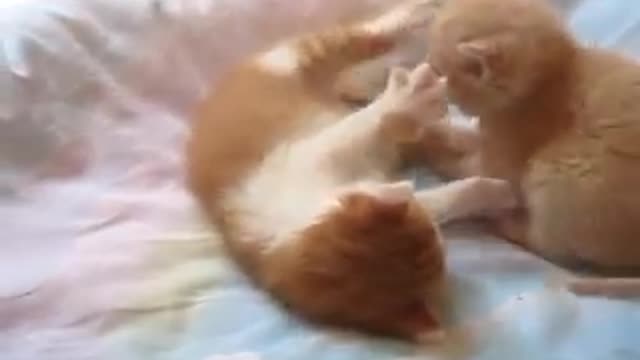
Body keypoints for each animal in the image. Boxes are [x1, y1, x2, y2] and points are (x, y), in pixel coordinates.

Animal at [185, 1, 516, 340]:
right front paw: (493, 192)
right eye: (436, 240)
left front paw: (403, 104)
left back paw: (417, 20)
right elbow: (441, 195)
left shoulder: (317, 151)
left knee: (367, 36)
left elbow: (369, 123)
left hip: (303, 57)